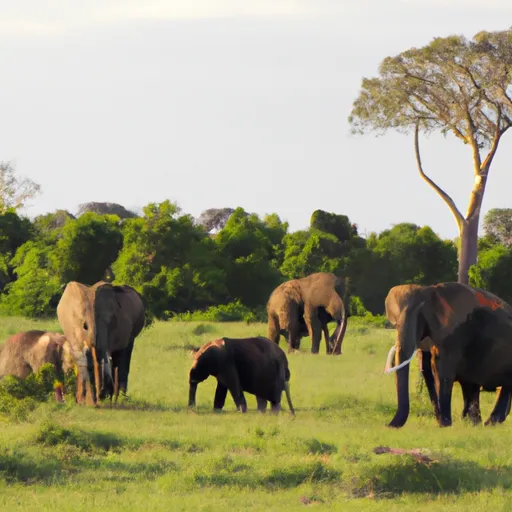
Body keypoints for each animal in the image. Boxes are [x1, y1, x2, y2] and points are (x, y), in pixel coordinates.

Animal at [384, 284, 512, 428]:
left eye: (421, 319)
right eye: (395, 324)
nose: (386, 426)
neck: (428, 291)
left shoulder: (453, 335)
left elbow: (442, 371)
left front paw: (445, 425)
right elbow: (428, 369)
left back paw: (487, 423)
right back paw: (479, 423)